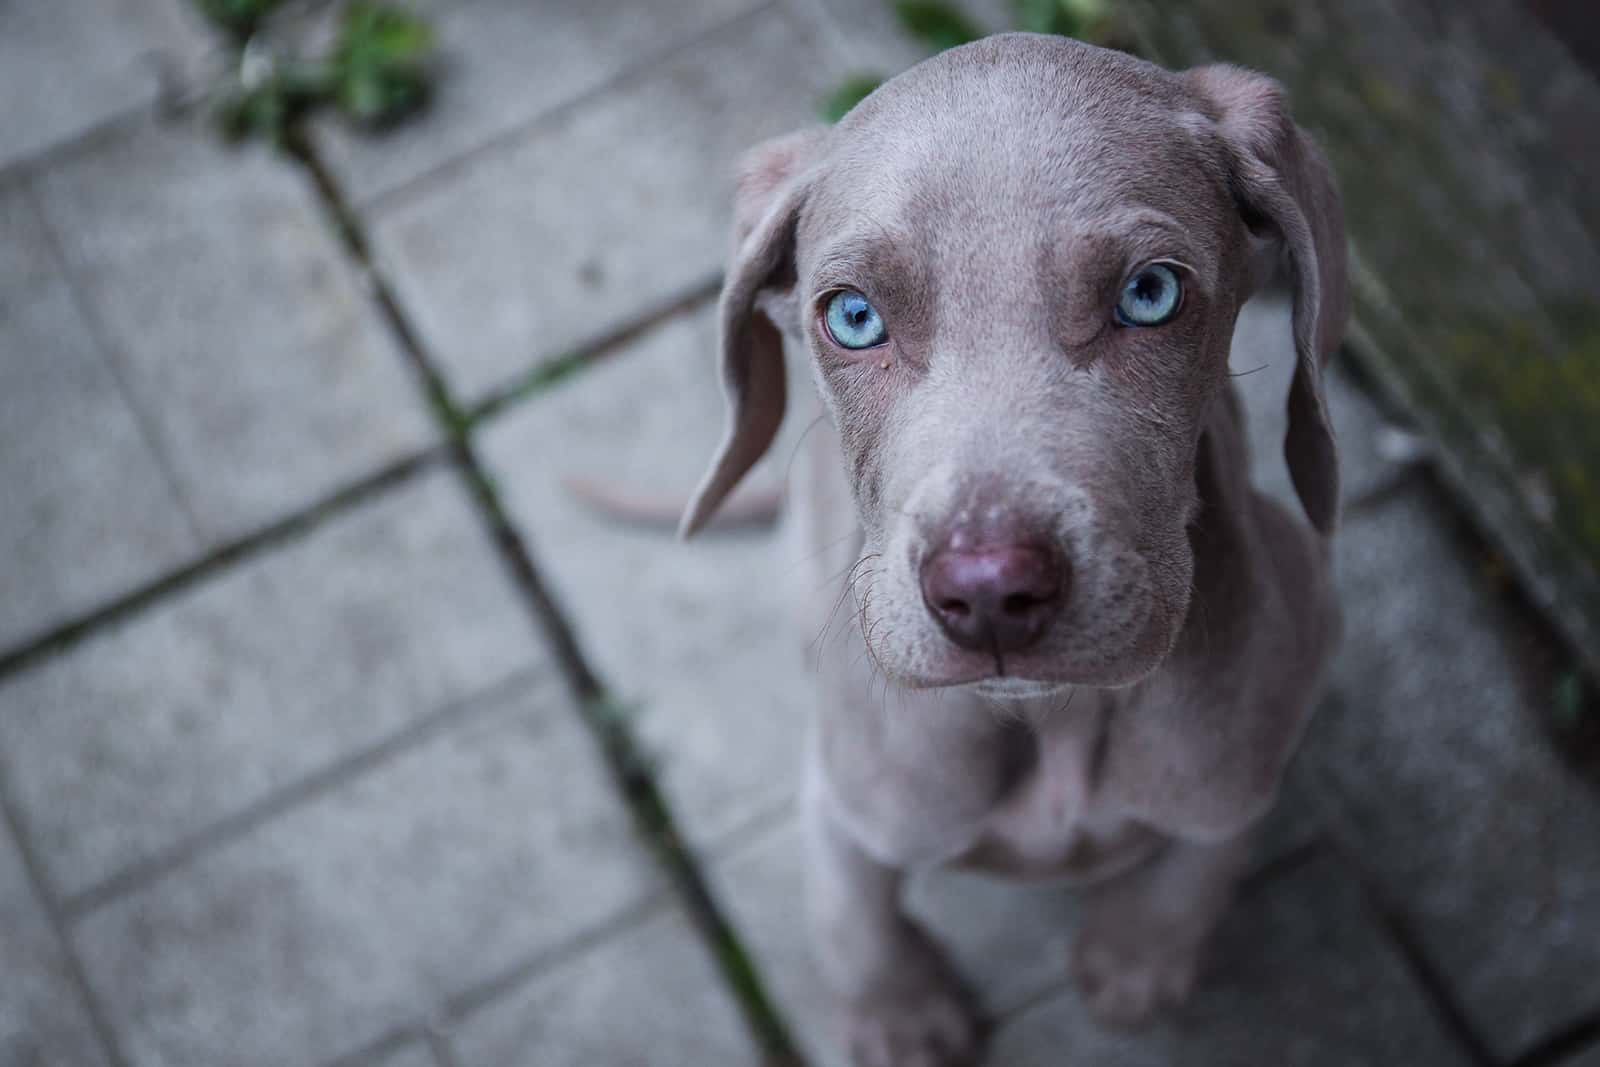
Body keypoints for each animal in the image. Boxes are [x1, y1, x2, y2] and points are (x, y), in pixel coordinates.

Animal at [681, 33, 1344, 1067]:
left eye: (1150, 294)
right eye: (853, 316)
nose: (989, 591)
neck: (1054, 723)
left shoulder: (1257, 725)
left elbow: (1196, 863)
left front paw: (1135, 960)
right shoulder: (850, 792)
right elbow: (850, 913)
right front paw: (901, 1015)